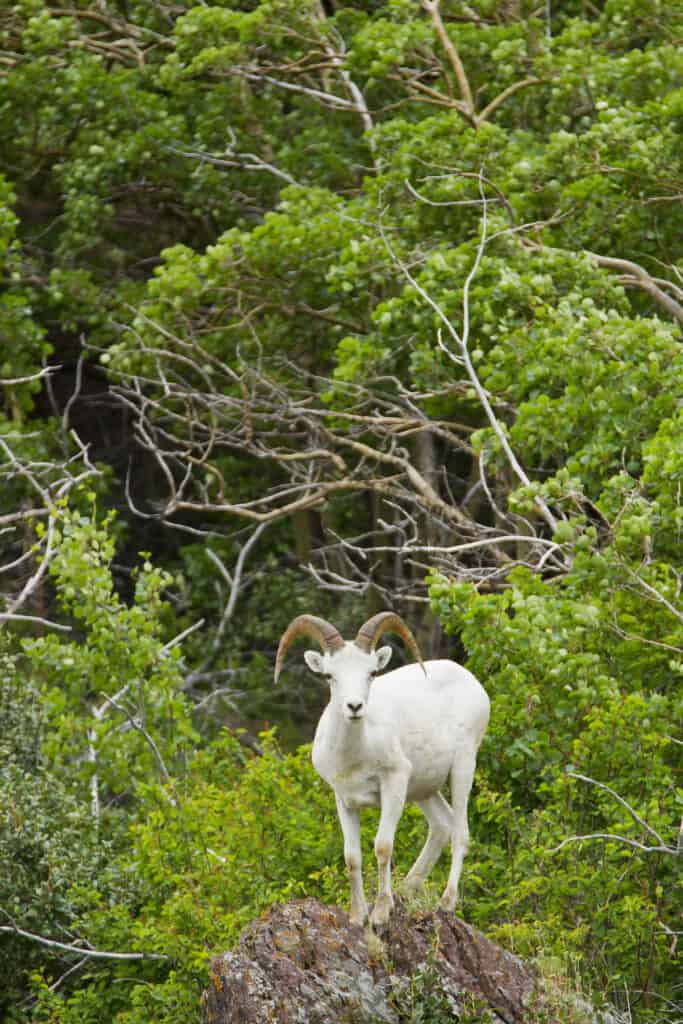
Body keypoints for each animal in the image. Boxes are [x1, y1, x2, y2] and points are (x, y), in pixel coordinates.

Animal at [274, 610, 489, 933]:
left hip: (463, 768)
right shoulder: (344, 800)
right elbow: (352, 857)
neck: (355, 755)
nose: (354, 707)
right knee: (442, 824)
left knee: (461, 833)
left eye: (371, 673)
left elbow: (383, 847)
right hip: (424, 789)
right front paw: (357, 916)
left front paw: (380, 914)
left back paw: (446, 902)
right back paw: (407, 889)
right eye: (330, 676)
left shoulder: (394, 784)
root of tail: (472, 682)